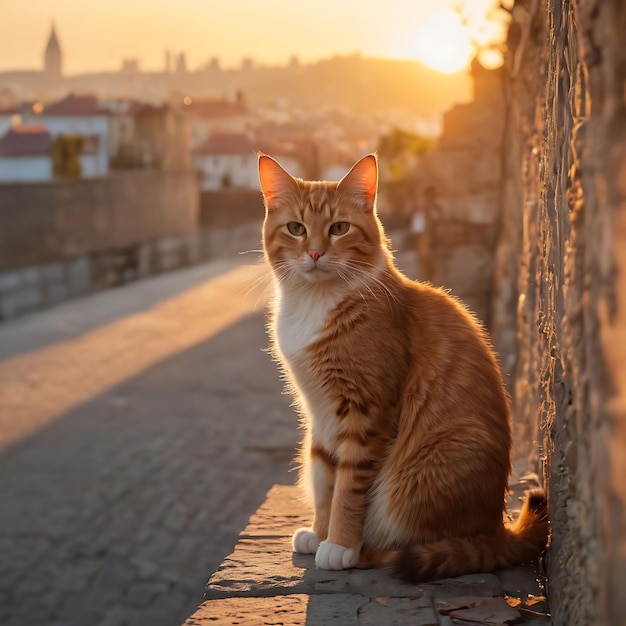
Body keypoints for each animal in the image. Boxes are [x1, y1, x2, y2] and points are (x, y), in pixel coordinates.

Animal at [256, 152, 548, 580]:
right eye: (296, 228)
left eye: (339, 228)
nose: (314, 253)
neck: (316, 302)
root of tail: (498, 530)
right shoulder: (321, 414)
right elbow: (325, 479)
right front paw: (320, 532)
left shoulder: (367, 410)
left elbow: (347, 488)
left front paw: (339, 544)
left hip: (425, 470)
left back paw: (366, 550)